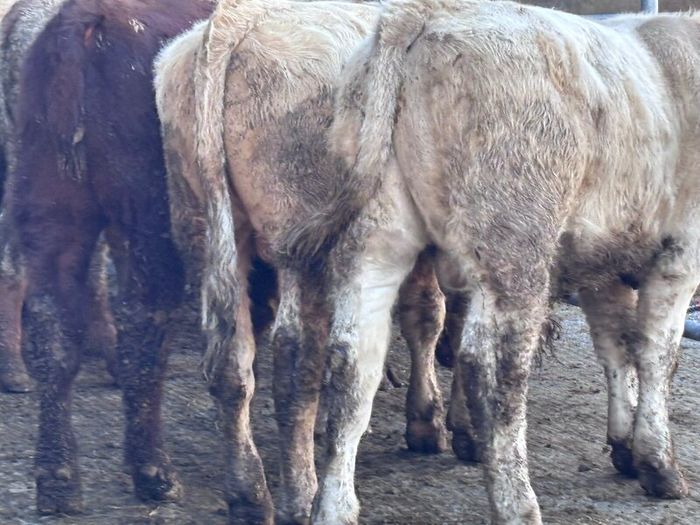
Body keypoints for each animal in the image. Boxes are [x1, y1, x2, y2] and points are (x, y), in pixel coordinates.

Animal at [5, 0, 215, 514]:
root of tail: (84, 21)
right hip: (148, 217)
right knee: (145, 319)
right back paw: (153, 472)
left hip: (52, 206)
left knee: (53, 324)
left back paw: (57, 478)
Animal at [154, 6, 450, 521]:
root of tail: (234, 20)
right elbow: (427, 315)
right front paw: (428, 420)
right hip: (302, 244)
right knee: (294, 363)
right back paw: (302, 494)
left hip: (202, 228)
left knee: (230, 361)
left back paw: (249, 493)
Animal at [319, 0, 700, 522]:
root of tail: (420, 15)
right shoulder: (681, 251)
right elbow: (657, 353)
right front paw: (658, 465)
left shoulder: (603, 260)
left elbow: (615, 347)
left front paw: (624, 447)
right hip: (514, 245)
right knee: (492, 368)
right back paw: (519, 504)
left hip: (376, 236)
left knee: (352, 361)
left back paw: (333, 506)